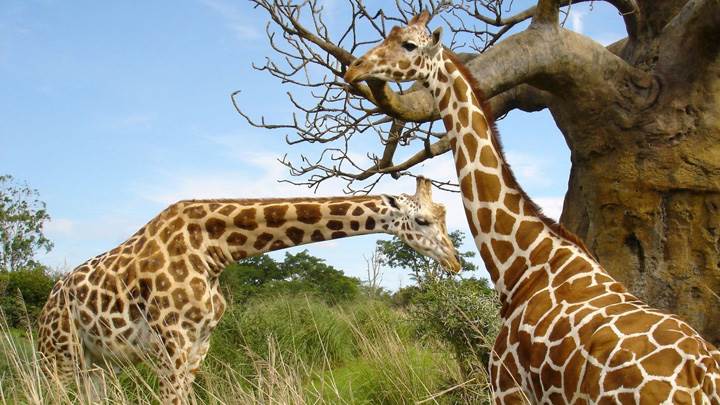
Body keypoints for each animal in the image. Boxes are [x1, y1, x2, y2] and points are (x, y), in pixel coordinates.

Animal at [37, 177, 461, 404]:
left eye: (443, 217)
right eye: (423, 221)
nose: (455, 262)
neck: (213, 250)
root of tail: (45, 308)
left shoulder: (199, 345)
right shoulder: (171, 342)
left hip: (96, 361)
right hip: (57, 357)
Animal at [345, 12, 720, 404]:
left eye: (408, 45)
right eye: (391, 34)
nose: (354, 68)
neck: (523, 264)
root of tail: (704, 379)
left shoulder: (508, 386)